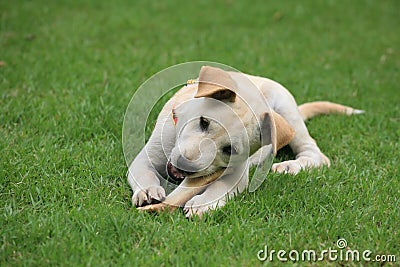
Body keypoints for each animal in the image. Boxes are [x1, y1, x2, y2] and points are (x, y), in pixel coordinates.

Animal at [127, 66, 362, 219]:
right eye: (203, 122)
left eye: (229, 150)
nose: (184, 166)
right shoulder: (147, 155)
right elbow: (143, 172)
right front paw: (148, 191)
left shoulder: (238, 174)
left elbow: (220, 187)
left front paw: (202, 203)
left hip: (287, 110)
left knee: (315, 154)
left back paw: (288, 166)